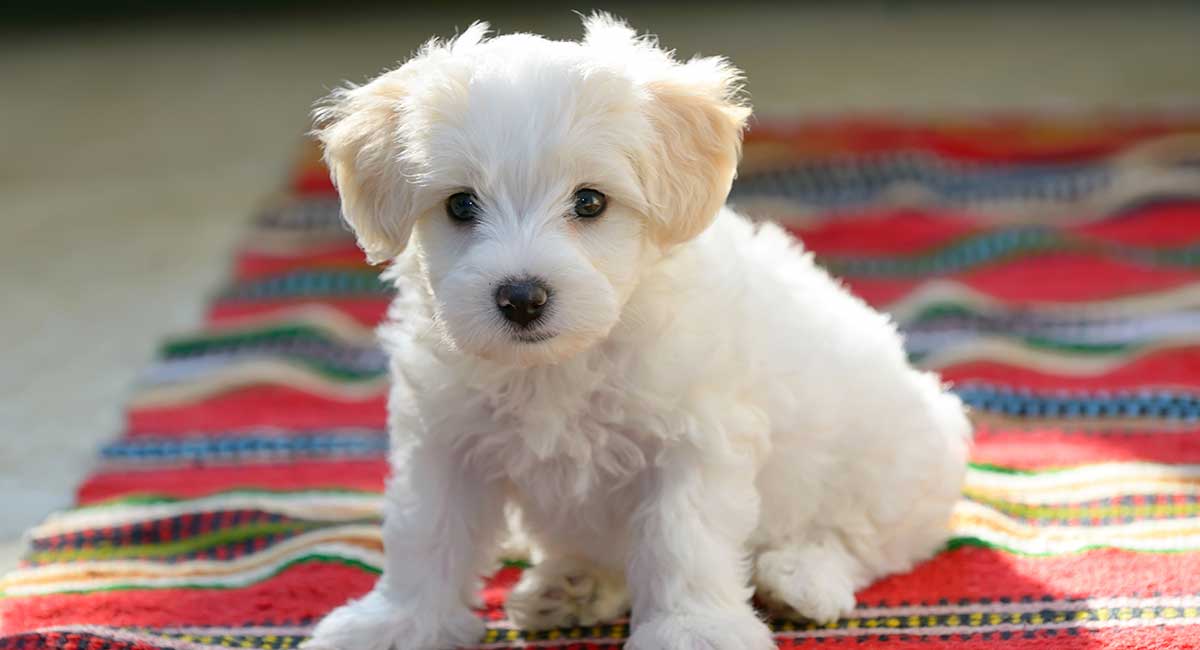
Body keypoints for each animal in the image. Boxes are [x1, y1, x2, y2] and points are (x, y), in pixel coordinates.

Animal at [304, 15, 969, 650]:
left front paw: (694, 631)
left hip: (896, 461)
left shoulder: (694, 440)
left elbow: (683, 540)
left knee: (860, 540)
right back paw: (571, 587)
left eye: (590, 202)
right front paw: (398, 625)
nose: (521, 298)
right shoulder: (445, 440)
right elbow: (426, 534)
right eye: (461, 205)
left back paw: (800, 580)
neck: (562, 364)